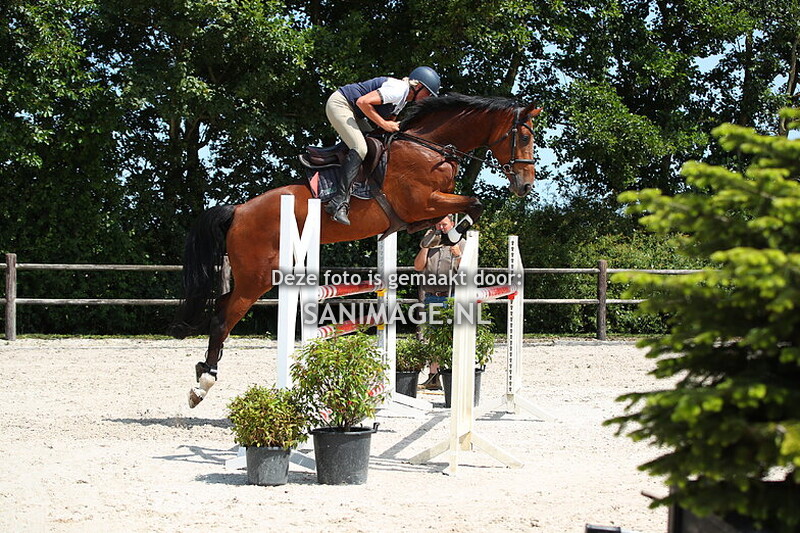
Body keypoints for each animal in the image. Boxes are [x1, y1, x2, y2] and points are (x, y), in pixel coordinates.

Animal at [170, 93, 542, 407]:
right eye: (524, 138)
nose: (525, 186)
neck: (430, 149)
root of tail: (238, 211)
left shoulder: (422, 211)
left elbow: (458, 211)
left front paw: (447, 236)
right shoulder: (421, 202)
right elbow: (474, 203)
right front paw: (453, 235)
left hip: (253, 274)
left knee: (220, 309)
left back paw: (202, 371)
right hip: (257, 277)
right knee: (222, 319)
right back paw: (202, 385)